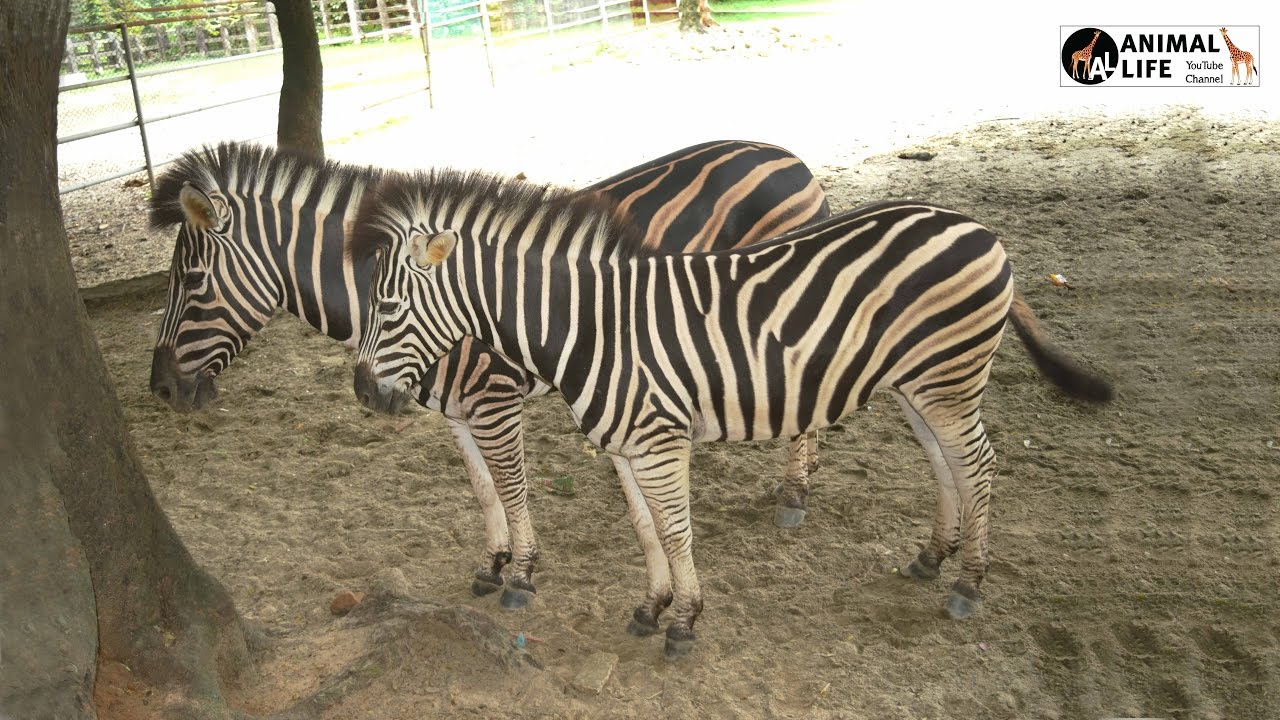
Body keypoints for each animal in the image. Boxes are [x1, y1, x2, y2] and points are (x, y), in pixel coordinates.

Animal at [146, 139, 831, 609]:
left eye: (192, 281)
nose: (159, 390)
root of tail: (787, 154)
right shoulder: (453, 408)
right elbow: (482, 489)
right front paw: (493, 563)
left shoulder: (494, 400)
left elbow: (512, 487)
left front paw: (522, 574)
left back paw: (794, 494)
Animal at [350, 169, 1113, 657]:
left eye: (385, 306)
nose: (361, 392)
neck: (592, 325)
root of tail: (976, 224)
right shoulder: (625, 444)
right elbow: (646, 530)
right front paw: (651, 606)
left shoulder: (659, 441)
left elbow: (677, 531)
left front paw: (684, 621)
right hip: (918, 382)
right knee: (942, 460)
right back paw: (933, 556)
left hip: (949, 377)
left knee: (978, 464)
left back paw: (969, 583)